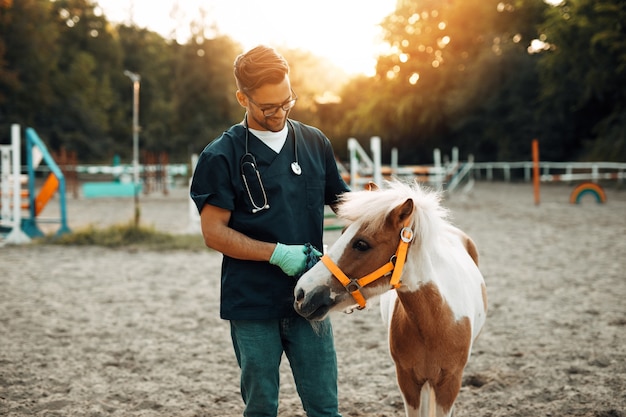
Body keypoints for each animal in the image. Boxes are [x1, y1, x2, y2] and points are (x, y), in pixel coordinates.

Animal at [294, 180, 488, 416]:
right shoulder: (407, 380)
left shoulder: (450, 383)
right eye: (342, 232)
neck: (437, 321)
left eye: (361, 244)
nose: (302, 292)